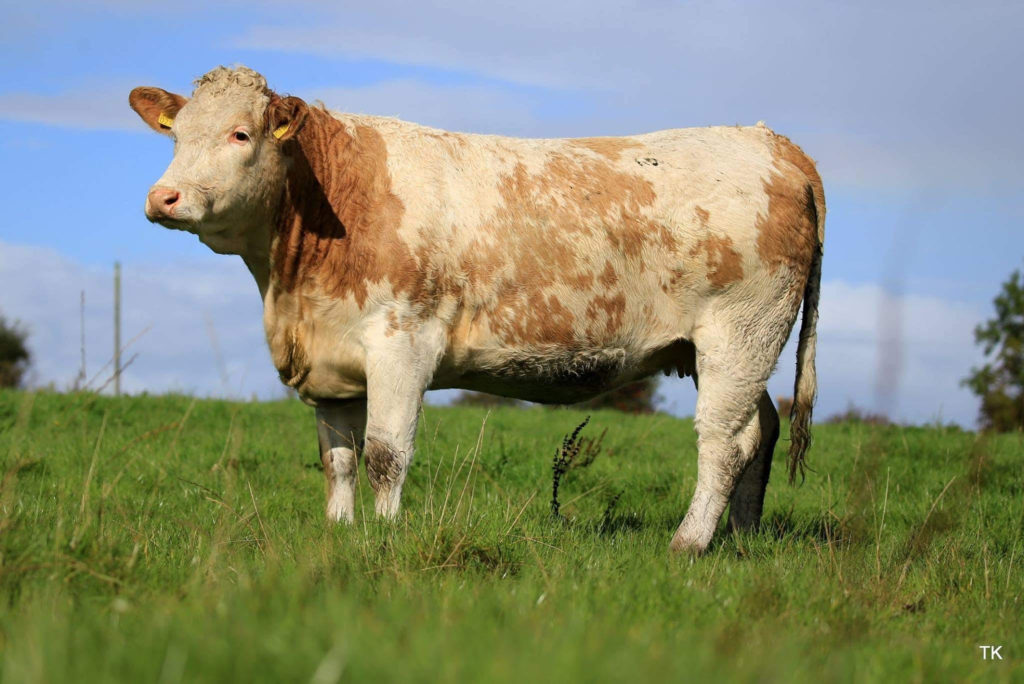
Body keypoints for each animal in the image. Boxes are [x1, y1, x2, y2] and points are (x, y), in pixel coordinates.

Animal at [129, 66, 824, 554]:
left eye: (240, 134)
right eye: (176, 136)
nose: (164, 197)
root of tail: (771, 140)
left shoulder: (401, 341)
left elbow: (385, 453)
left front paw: (384, 538)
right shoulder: (331, 365)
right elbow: (338, 460)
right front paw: (339, 535)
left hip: (739, 331)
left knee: (725, 440)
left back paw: (689, 543)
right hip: (726, 348)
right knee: (761, 429)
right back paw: (741, 537)